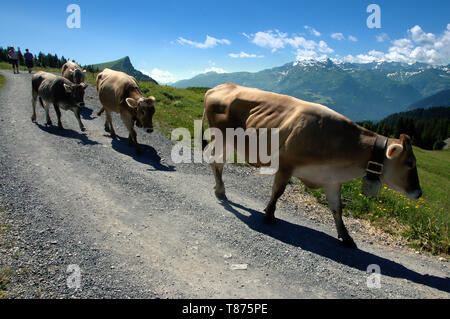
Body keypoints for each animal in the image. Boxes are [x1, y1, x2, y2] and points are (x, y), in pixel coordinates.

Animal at [201, 82, 422, 248]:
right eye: (410, 163)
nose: (419, 193)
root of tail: (219, 87)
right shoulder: (286, 164)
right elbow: (278, 192)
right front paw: (269, 214)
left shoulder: (332, 179)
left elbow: (337, 208)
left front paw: (346, 236)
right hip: (222, 136)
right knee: (215, 159)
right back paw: (220, 190)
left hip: (229, 141)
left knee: (217, 161)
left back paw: (218, 188)